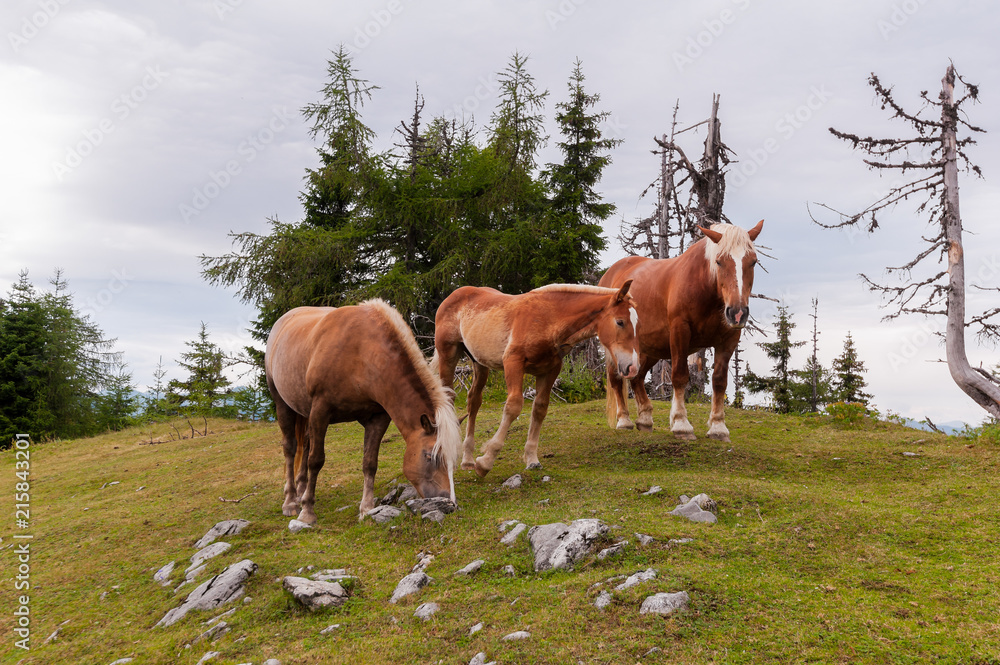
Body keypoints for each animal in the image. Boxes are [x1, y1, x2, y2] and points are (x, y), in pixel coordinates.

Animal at [262, 298, 458, 520]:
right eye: (429, 456)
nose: (450, 502)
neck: (362, 353)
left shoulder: (378, 417)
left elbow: (369, 462)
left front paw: (366, 508)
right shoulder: (321, 410)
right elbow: (316, 460)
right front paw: (307, 512)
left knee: (306, 443)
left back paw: (302, 489)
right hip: (283, 404)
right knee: (291, 448)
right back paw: (291, 501)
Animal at [434, 282, 636, 474]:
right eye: (620, 322)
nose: (631, 367)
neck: (549, 319)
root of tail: (452, 296)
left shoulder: (550, 370)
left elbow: (539, 409)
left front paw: (532, 459)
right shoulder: (513, 362)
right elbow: (513, 406)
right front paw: (486, 461)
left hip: (479, 363)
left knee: (473, 401)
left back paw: (467, 459)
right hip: (448, 355)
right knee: (449, 397)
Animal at [600, 220, 756, 444]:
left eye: (753, 262)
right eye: (719, 262)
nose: (737, 313)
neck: (704, 286)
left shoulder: (729, 339)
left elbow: (719, 381)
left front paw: (718, 428)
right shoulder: (680, 332)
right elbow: (680, 376)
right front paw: (682, 425)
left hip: (651, 348)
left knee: (637, 377)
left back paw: (645, 419)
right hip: (615, 348)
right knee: (616, 379)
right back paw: (624, 421)